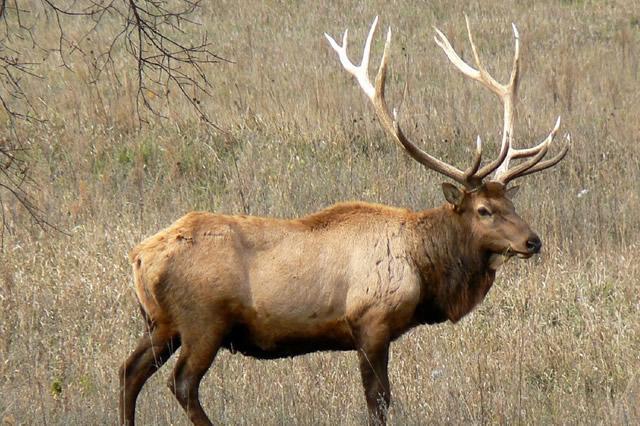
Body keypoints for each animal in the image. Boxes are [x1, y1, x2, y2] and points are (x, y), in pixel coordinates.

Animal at [117, 15, 568, 426]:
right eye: (483, 210)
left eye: (510, 202)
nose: (533, 241)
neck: (424, 268)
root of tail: (138, 256)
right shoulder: (371, 322)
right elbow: (379, 402)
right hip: (202, 321)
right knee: (181, 383)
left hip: (161, 322)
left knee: (128, 371)